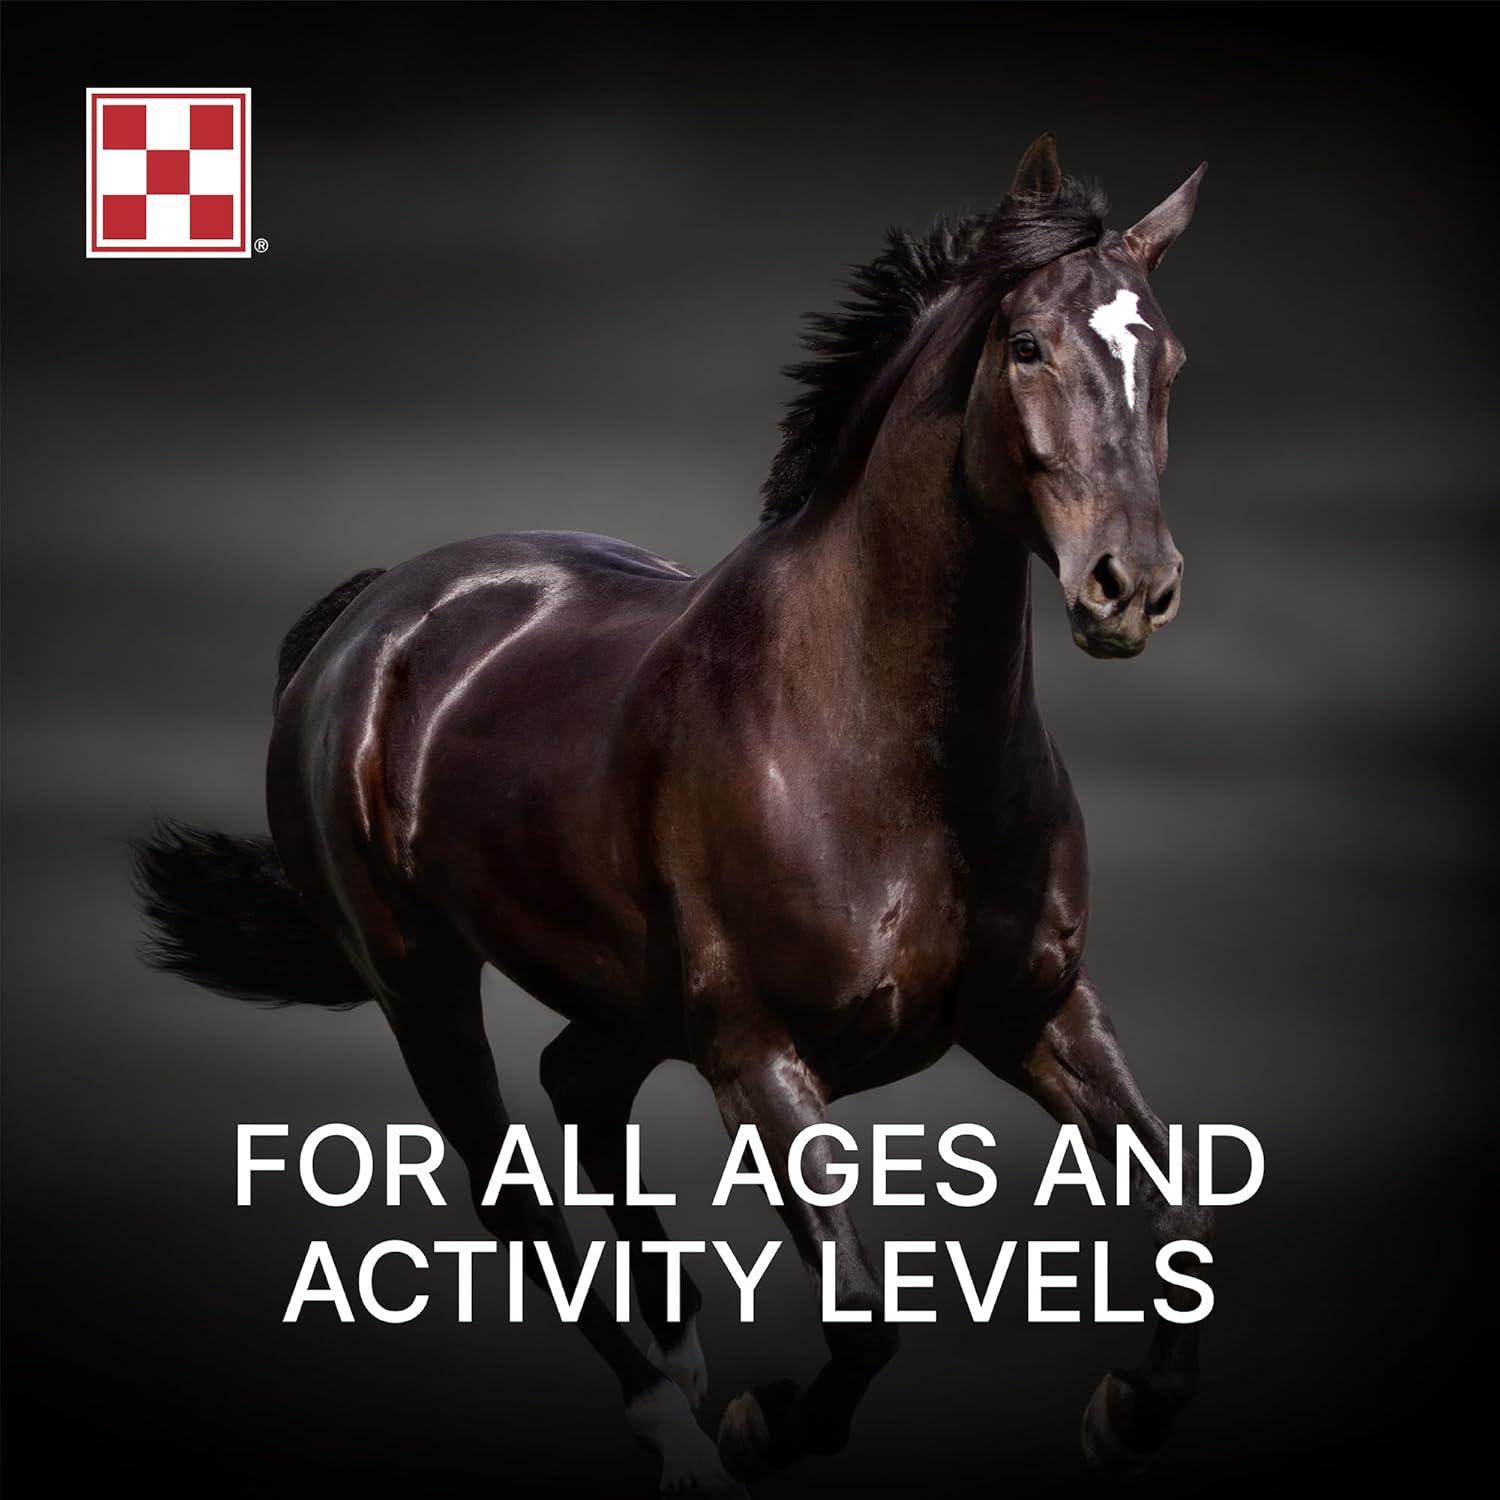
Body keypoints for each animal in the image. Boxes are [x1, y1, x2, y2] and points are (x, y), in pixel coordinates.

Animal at [133, 133, 1210, 1493]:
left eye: (1167, 360)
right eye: (1025, 345)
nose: (1132, 586)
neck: (883, 753)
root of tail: (369, 622)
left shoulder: (1039, 1012)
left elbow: (1179, 1222)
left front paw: (1129, 1411)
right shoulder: (760, 1058)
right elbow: (867, 1310)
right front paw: (765, 1425)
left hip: (626, 992)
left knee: (578, 1081)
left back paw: (681, 1345)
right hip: (420, 978)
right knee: (508, 1189)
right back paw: (678, 1424)